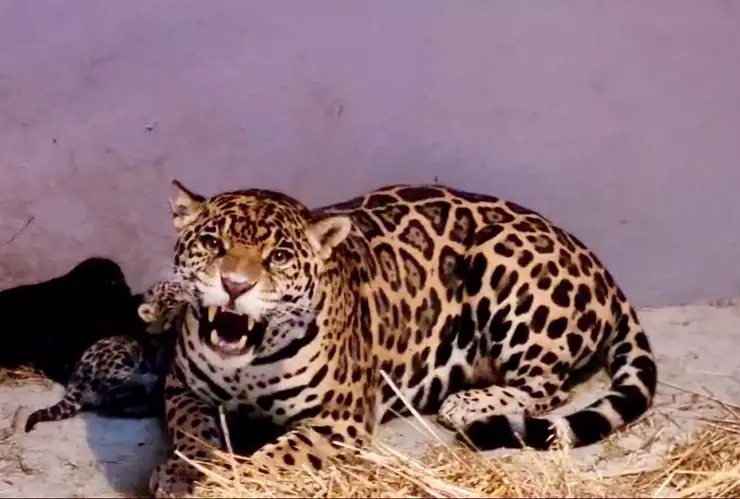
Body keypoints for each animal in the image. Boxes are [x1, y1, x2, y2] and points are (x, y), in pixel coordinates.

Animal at [24, 277, 195, 433]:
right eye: (171, 294)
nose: (190, 288)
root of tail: (76, 380)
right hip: (120, 358)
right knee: (116, 390)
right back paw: (150, 383)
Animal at [150, 180, 657, 497]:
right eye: (212, 243)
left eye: (278, 257)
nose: (235, 285)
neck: (248, 366)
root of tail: (602, 269)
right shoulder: (182, 387)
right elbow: (190, 432)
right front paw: (182, 472)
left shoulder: (336, 420)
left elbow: (274, 457)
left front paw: (224, 484)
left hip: (503, 258)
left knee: (548, 386)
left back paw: (467, 403)